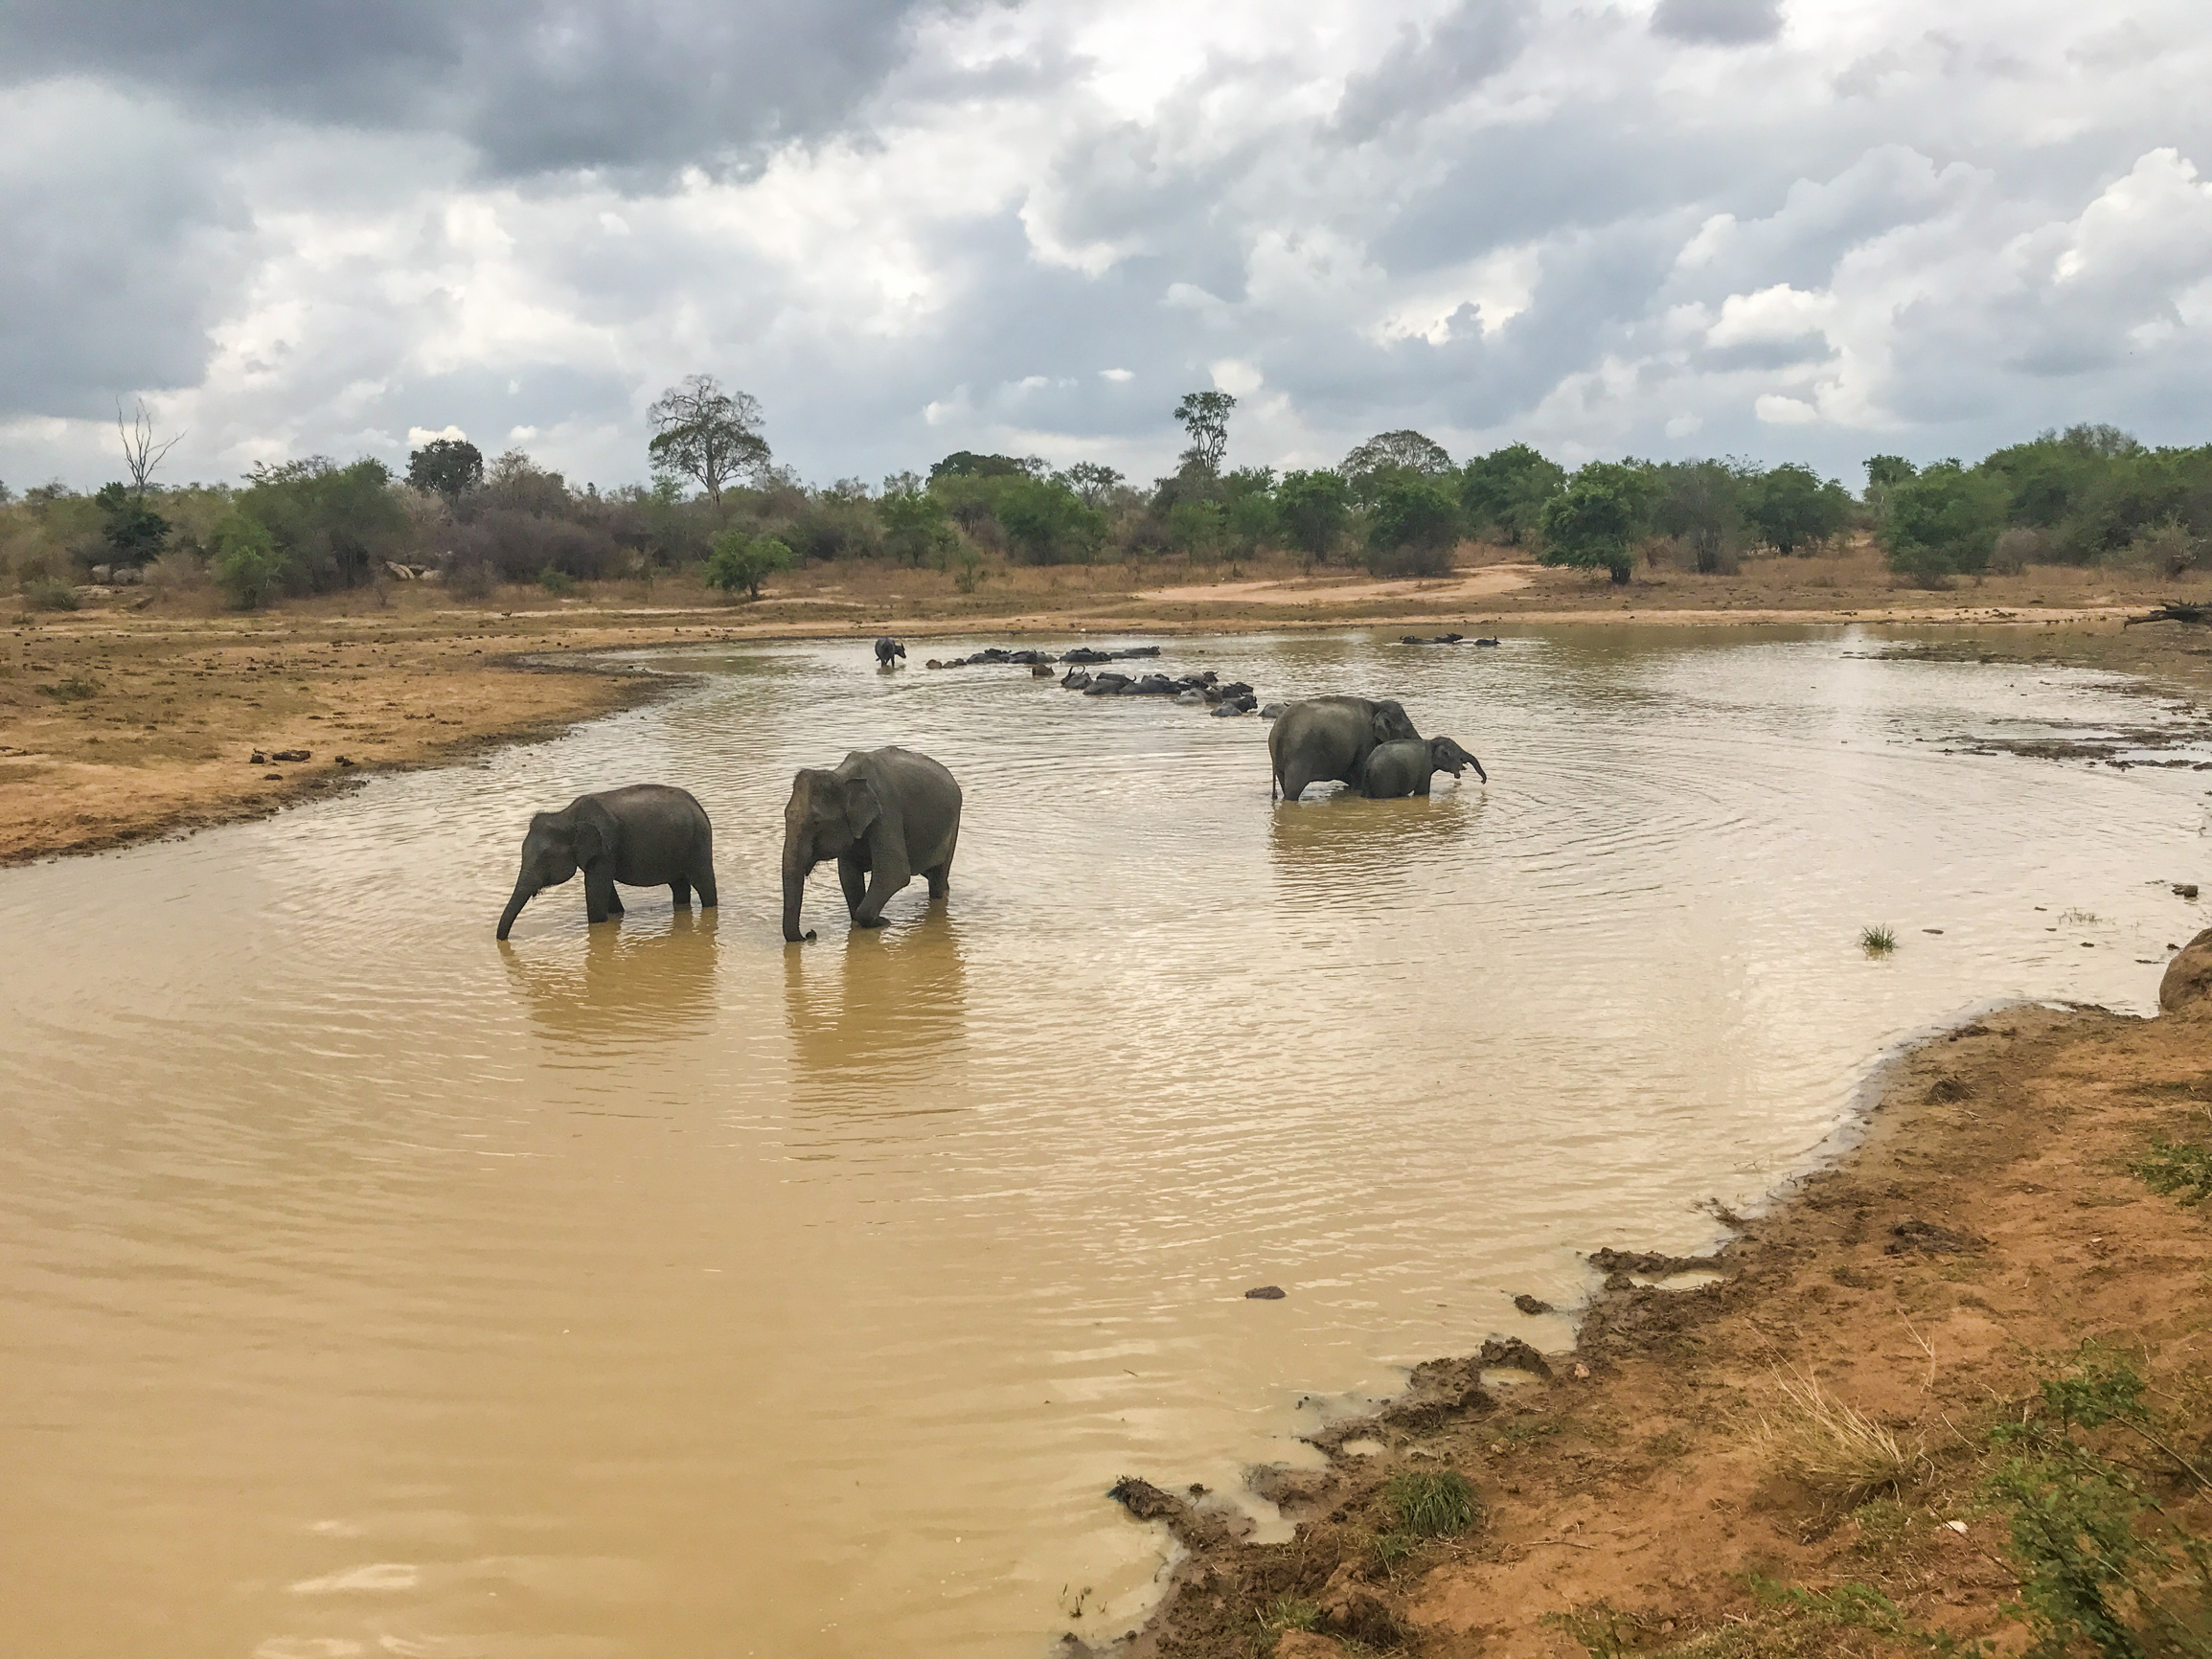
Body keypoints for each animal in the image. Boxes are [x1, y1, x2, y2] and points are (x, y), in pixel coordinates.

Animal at [495, 787, 717, 942]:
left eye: (546, 859)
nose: (506, 940)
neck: (566, 816)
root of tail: (698, 807)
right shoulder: (600, 855)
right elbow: (606, 891)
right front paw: (616, 914)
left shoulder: (605, 848)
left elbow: (597, 892)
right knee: (679, 885)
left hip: (698, 844)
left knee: (703, 883)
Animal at [778, 747, 960, 942]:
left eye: (816, 822)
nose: (810, 933)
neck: (843, 776)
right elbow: (849, 877)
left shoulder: (887, 812)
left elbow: (894, 874)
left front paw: (883, 922)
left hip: (953, 826)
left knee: (938, 878)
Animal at [1273, 694, 1424, 805]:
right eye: (1407, 729)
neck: (1376, 705)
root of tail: (1278, 729)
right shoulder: (1365, 741)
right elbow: (1359, 773)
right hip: (1299, 755)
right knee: (1293, 790)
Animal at [1344, 739, 1486, 800]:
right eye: (1459, 755)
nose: (1482, 782)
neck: (1432, 743)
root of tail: (1368, 766)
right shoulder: (1425, 768)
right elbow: (1422, 792)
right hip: (1384, 780)